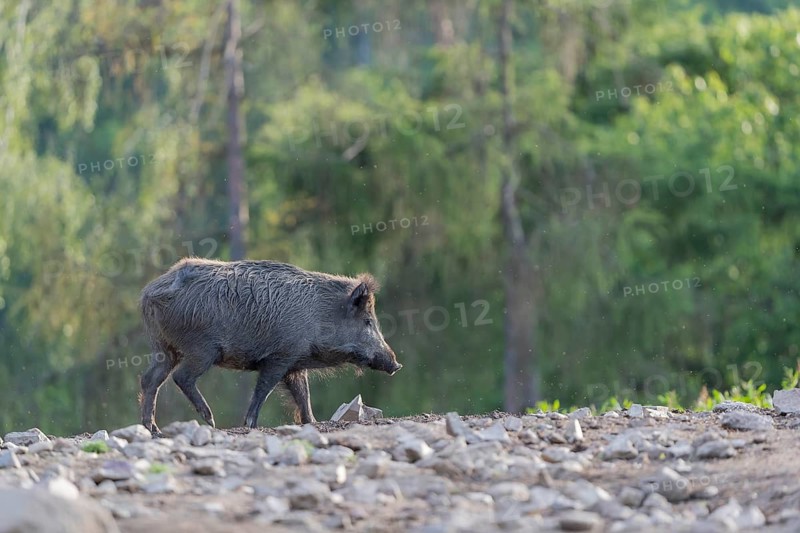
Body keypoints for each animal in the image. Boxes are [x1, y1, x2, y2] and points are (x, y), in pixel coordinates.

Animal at [138, 258, 401, 433]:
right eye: (367, 321)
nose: (396, 364)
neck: (319, 315)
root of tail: (150, 292)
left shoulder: (295, 363)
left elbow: (302, 394)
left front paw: (312, 422)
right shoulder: (279, 357)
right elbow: (264, 389)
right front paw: (250, 425)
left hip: (164, 349)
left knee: (150, 379)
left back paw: (153, 429)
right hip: (201, 350)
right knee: (181, 377)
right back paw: (210, 421)